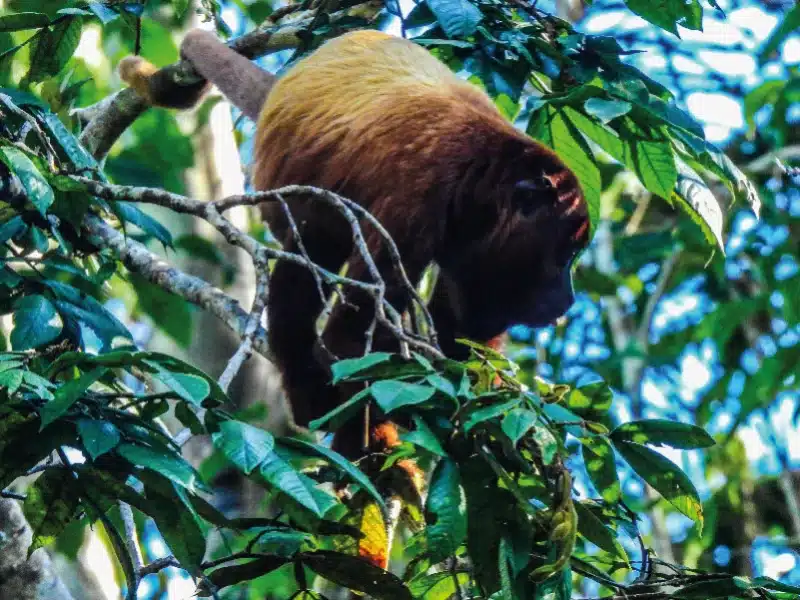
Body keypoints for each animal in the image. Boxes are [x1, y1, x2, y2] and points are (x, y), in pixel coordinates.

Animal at [119, 28, 590, 462]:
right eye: (564, 255)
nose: (567, 298)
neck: (485, 178)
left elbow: (465, 322)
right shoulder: (416, 198)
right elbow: (352, 338)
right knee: (307, 260)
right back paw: (311, 397)